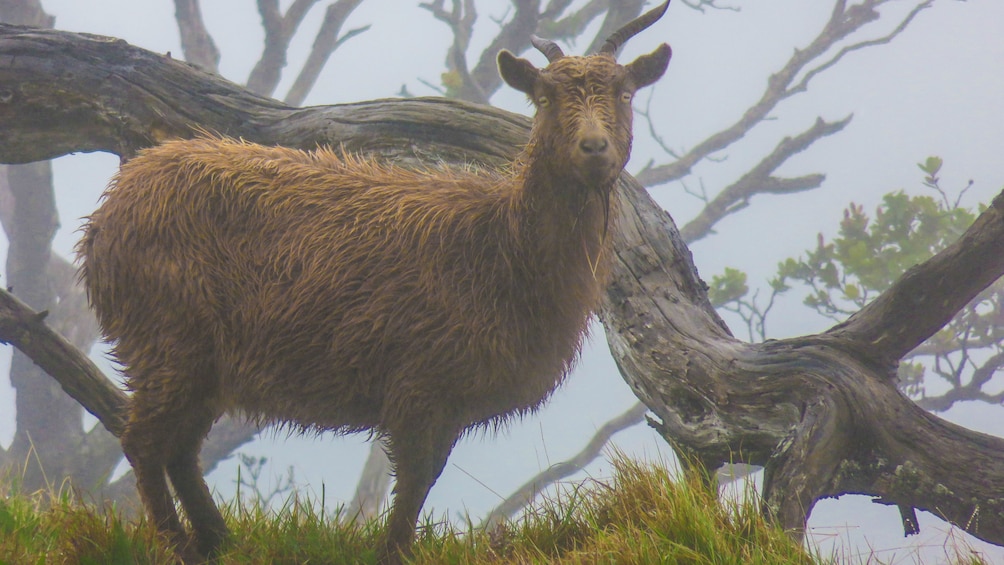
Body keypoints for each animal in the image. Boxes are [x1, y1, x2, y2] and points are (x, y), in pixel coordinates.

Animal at [76, 3, 674, 561]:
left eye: (624, 92)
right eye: (544, 98)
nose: (593, 149)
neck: (501, 247)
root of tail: (104, 216)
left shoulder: (448, 397)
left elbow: (426, 476)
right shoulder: (419, 377)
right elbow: (413, 479)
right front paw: (393, 551)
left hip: (201, 362)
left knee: (180, 445)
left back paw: (216, 540)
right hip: (166, 335)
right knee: (143, 440)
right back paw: (179, 544)